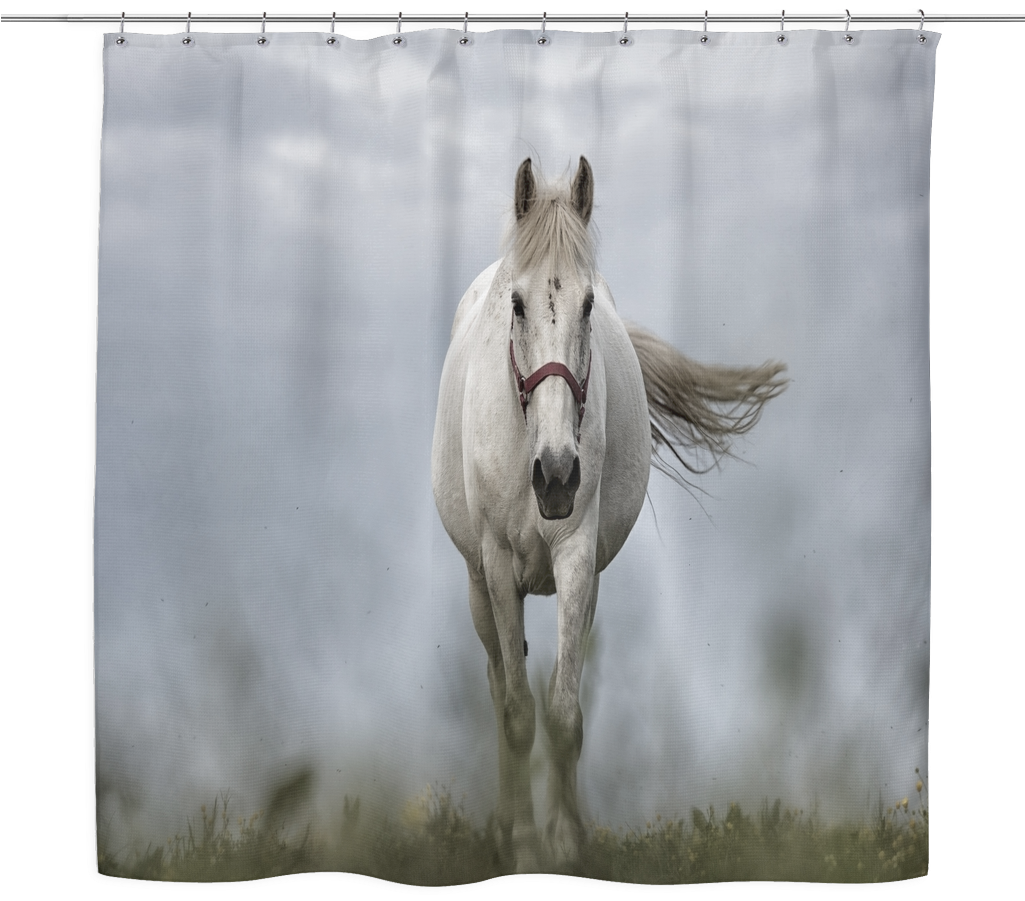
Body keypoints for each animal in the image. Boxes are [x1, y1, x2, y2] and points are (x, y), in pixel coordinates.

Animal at [431, 157, 787, 873]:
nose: (556, 474)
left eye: (588, 305)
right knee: (497, 683)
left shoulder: (576, 560)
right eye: (517, 304)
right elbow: (517, 711)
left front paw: (566, 841)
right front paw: (522, 845)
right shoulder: (497, 565)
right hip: (479, 586)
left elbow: (565, 710)